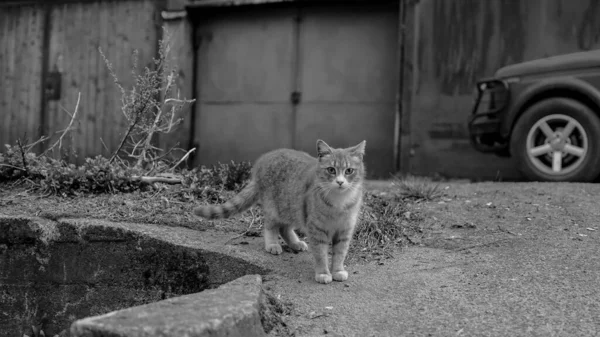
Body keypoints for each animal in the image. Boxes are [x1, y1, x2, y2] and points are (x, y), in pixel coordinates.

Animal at [193, 139, 366, 284]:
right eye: (331, 170)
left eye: (349, 171)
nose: (340, 182)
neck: (339, 202)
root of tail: (263, 160)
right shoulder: (316, 230)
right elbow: (321, 253)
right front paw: (323, 273)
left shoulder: (344, 230)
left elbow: (340, 253)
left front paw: (338, 271)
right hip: (275, 208)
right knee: (270, 226)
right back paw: (272, 244)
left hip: (292, 209)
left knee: (284, 228)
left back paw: (295, 243)